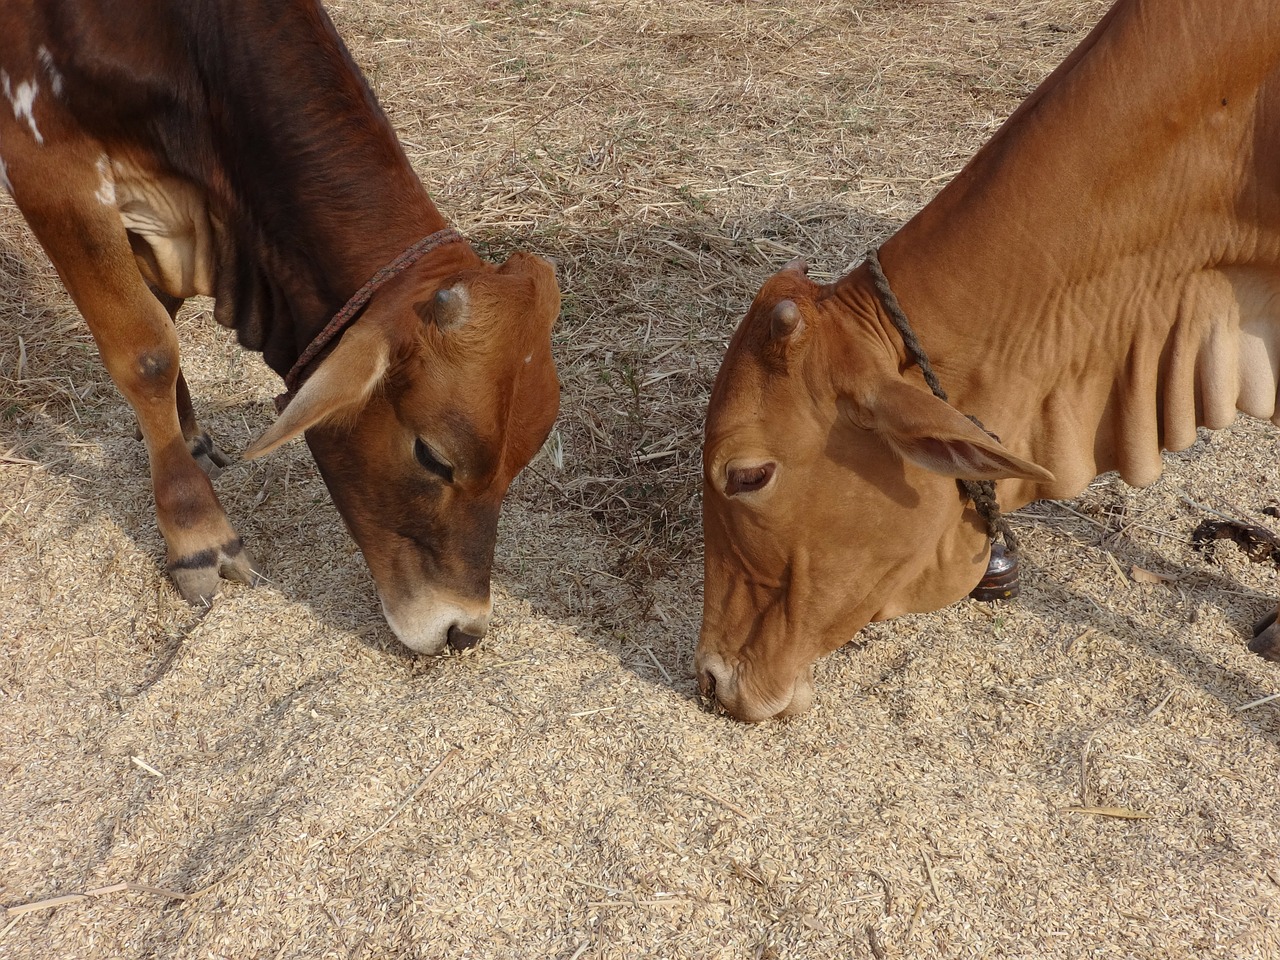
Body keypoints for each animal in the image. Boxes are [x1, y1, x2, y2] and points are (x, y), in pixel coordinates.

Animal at [0, 0, 560, 660]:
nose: (462, 631)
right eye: (432, 455)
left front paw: (186, 435)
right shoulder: (49, 165)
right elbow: (147, 350)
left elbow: (165, 315)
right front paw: (196, 532)